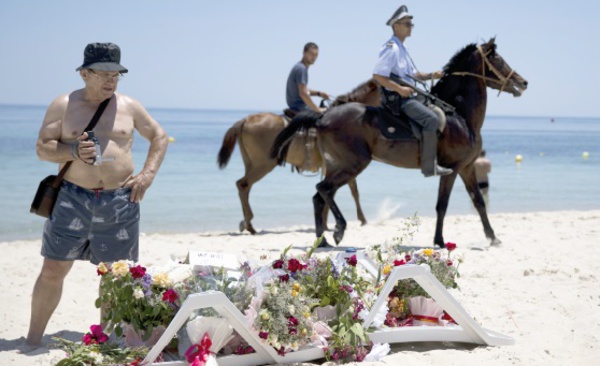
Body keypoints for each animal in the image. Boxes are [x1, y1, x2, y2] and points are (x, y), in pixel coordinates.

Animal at [218, 80, 380, 234]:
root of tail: (245, 120)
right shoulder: (344, 164)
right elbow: (349, 191)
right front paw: (360, 220)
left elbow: (340, 191)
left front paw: (326, 223)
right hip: (263, 164)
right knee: (243, 184)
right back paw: (248, 223)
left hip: (251, 164)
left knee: (245, 187)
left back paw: (248, 225)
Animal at [272, 38, 524, 247]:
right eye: (498, 59)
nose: (523, 82)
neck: (459, 115)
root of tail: (323, 116)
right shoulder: (452, 169)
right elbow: (442, 205)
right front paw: (440, 241)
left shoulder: (468, 168)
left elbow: (479, 201)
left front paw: (493, 237)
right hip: (353, 164)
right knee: (323, 190)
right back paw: (338, 230)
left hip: (336, 165)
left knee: (319, 197)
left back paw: (322, 241)